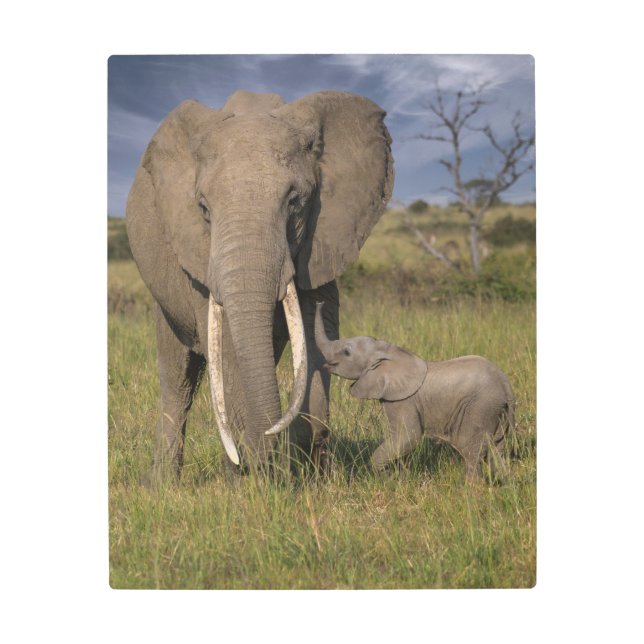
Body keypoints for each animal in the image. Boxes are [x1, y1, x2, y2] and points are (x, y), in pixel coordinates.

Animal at [126, 89, 394, 480]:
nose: (266, 449)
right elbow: (226, 348)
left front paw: (312, 475)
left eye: (295, 202)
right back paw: (164, 485)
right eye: (203, 208)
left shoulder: (321, 240)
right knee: (178, 378)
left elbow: (317, 333)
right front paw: (251, 478)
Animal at [313, 303, 515, 481]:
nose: (319, 302)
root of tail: (505, 384)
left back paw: (472, 489)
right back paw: (502, 483)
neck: (388, 351)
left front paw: (387, 478)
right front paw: (399, 477)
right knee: (497, 448)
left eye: (346, 352)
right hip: (497, 411)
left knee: (470, 449)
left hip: (480, 407)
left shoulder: (403, 400)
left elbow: (408, 435)